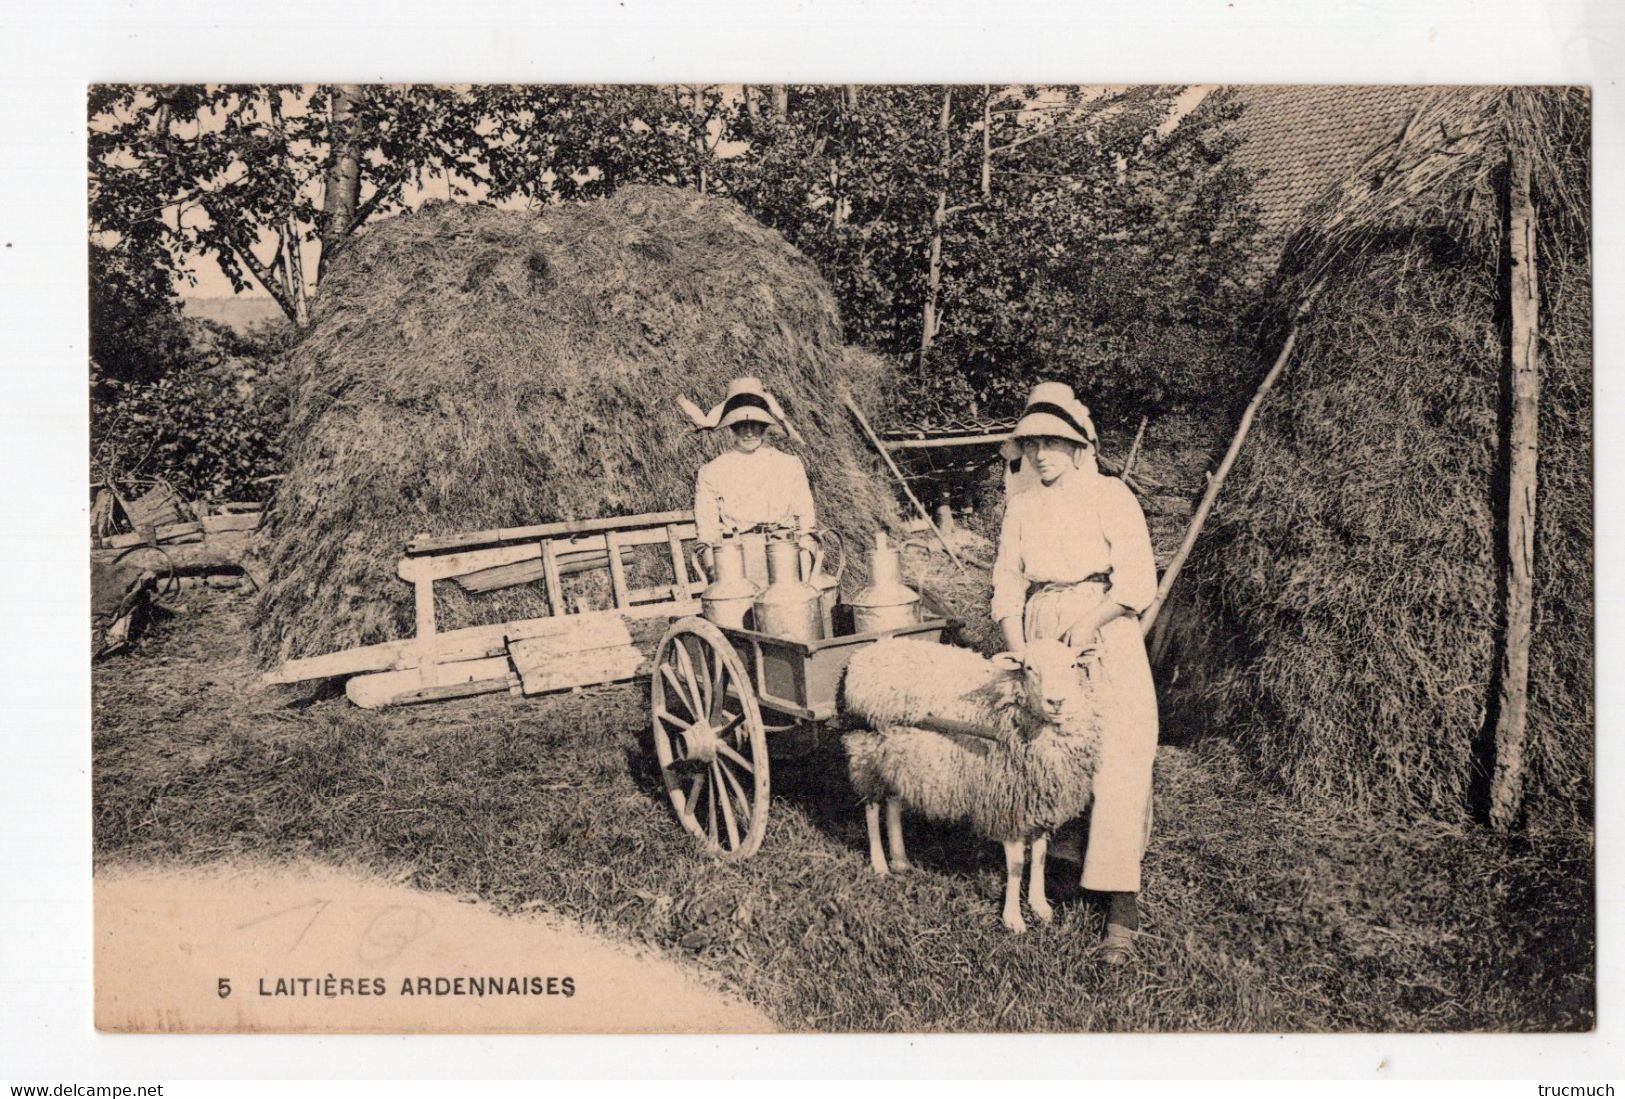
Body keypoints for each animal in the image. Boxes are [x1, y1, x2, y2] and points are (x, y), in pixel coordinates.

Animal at [838, 634, 1105, 936]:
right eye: (1028, 668)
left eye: (1073, 665)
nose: (1056, 701)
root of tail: (872, 648)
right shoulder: (1005, 802)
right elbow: (1016, 865)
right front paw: (1013, 918)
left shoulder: (1039, 803)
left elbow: (1039, 856)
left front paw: (1040, 906)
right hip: (866, 752)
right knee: (872, 808)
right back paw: (880, 864)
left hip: (898, 757)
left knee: (893, 804)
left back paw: (900, 859)